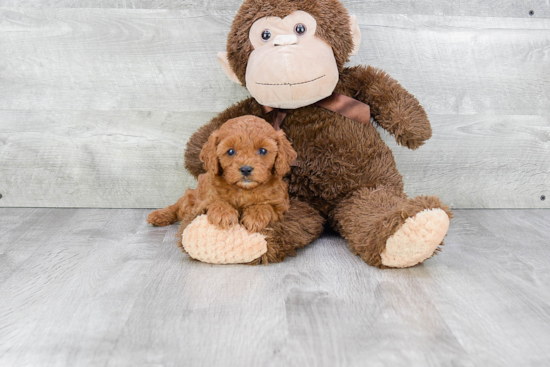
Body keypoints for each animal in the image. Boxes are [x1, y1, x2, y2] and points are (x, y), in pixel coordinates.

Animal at [148, 115, 298, 236]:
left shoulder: (281, 206)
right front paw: (224, 214)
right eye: (230, 151)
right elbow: (216, 202)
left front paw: (255, 216)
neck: (244, 190)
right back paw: (159, 215)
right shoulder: (203, 204)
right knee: (179, 206)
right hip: (192, 198)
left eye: (263, 151)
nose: (246, 169)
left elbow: (267, 206)